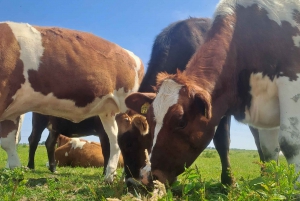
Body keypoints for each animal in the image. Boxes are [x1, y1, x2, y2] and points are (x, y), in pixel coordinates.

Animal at [0, 21, 144, 182]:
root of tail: (133, 56)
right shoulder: (11, 110)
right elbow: (8, 142)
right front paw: (13, 171)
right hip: (107, 112)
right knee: (114, 141)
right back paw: (109, 176)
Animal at [124, 0, 300, 185]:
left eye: (181, 122)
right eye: (151, 122)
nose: (145, 178)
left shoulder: (290, 82)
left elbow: (288, 143)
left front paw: (229, 182)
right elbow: (269, 148)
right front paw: (272, 184)